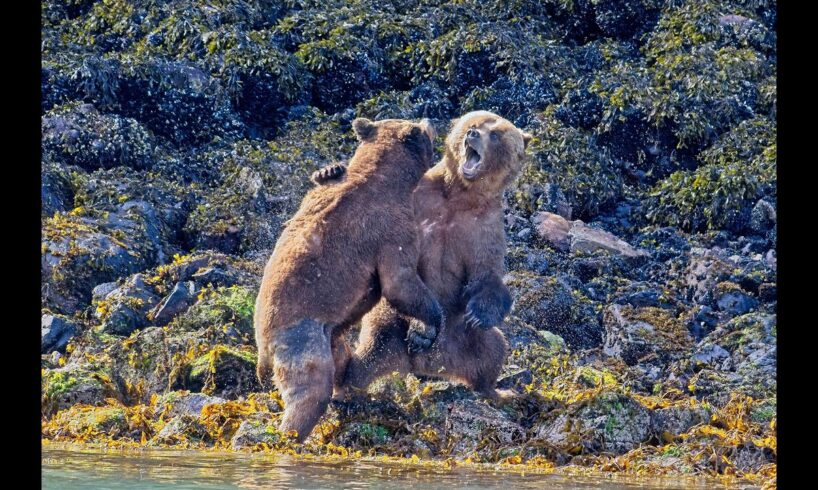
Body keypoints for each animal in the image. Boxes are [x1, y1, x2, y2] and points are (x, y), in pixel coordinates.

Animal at [254, 117, 445, 442]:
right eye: (419, 128)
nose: (430, 120)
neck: (390, 181)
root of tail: (263, 347)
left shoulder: (315, 199)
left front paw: (328, 170)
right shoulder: (391, 229)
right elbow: (400, 283)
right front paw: (427, 327)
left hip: (328, 334)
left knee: (341, 360)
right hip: (301, 338)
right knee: (311, 389)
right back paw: (291, 434)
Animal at [327, 111, 532, 400]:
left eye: (495, 134)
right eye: (473, 124)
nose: (473, 134)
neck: (459, 196)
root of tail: (431, 364)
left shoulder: (483, 226)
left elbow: (486, 273)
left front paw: (478, 313)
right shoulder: (419, 201)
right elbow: (406, 267)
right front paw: (421, 330)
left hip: (465, 338)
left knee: (494, 349)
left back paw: (498, 392)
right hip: (390, 324)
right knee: (370, 354)